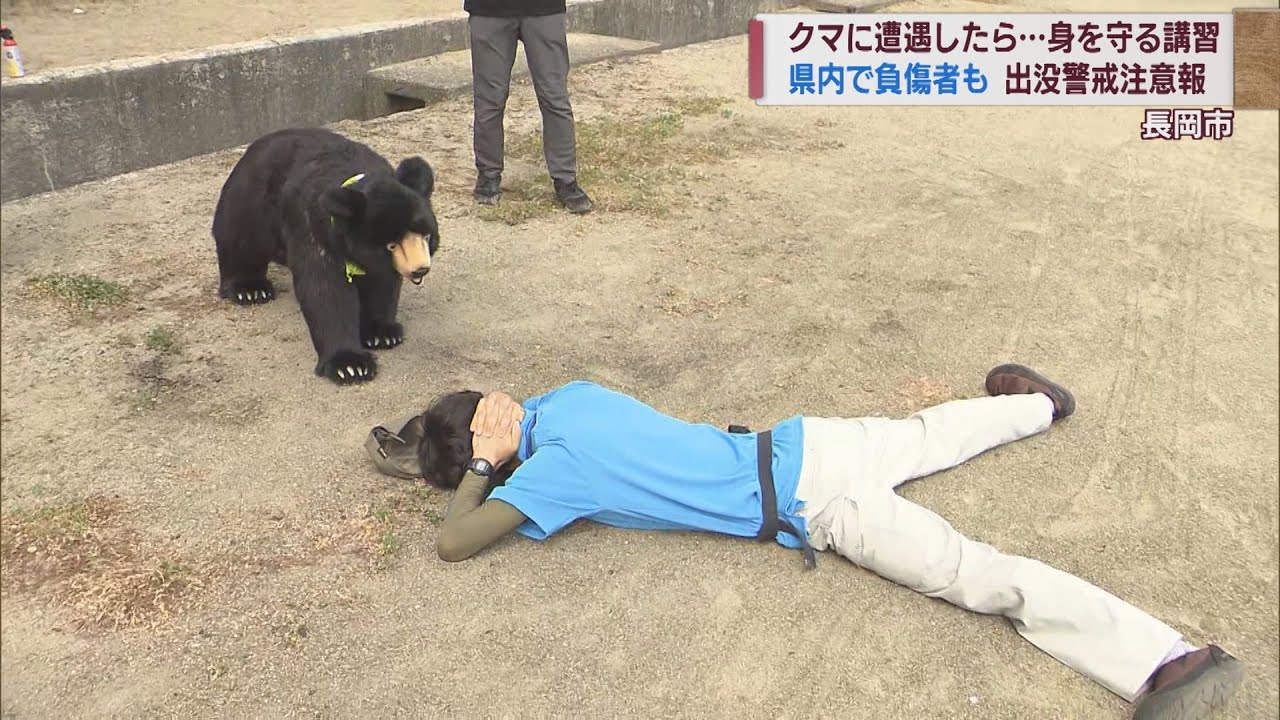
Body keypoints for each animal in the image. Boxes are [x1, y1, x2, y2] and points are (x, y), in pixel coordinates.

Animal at [211, 127, 440, 385]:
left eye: (426, 236)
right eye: (391, 245)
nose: (420, 268)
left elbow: (382, 284)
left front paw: (382, 333)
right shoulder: (313, 226)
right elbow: (326, 290)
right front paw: (350, 365)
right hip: (251, 202)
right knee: (241, 242)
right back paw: (249, 289)